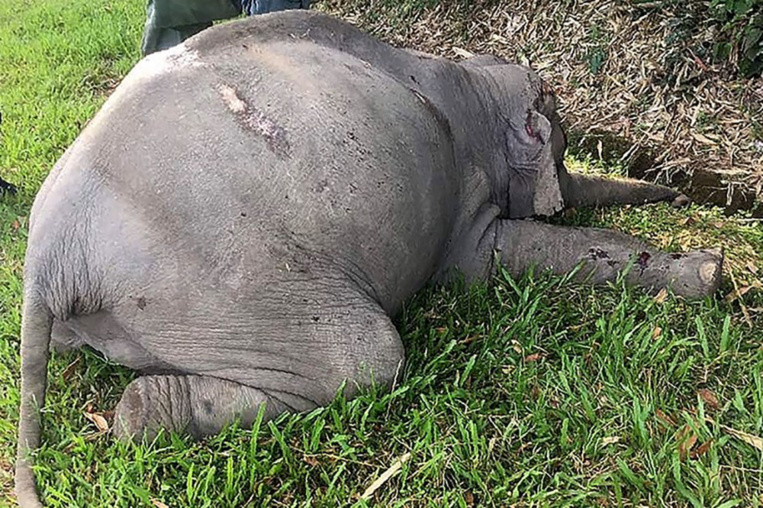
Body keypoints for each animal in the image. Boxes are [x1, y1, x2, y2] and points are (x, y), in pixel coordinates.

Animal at [15, 10, 723, 506]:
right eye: (562, 144)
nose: (679, 192)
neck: (469, 79)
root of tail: (51, 257)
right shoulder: (463, 201)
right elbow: (491, 261)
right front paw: (708, 272)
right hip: (222, 289)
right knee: (368, 358)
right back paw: (144, 410)